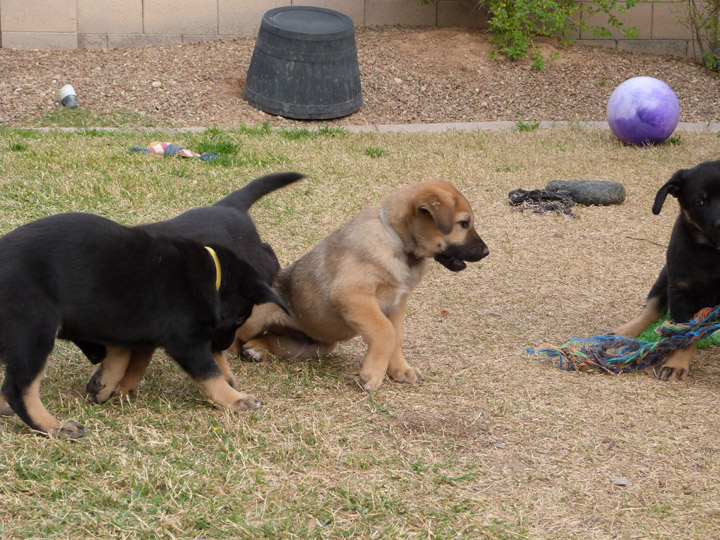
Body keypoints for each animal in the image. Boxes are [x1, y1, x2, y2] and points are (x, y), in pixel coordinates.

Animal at [0, 213, 286, 436]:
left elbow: (127, 358)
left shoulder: (128, 325)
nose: (226, 345)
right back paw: (53, 426)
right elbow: (210, 374)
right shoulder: (186, 341)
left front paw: (107, 386)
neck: (212, 276)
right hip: (35, 328)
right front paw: (236, 399)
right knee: (18, 387)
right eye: (239, 318)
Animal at [236, 179, 490, 390]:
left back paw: (256, 348)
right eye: (463, 223)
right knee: (238, 337)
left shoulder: (396, 304)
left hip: (312, 346)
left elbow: (396, 337)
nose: (487, 251)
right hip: (256, 315)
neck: (397, 242)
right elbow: (385, 332)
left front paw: (399, 369)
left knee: (270, 338)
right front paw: (373, 373)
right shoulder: (353, 295)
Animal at [612, 159, 720, 380]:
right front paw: (676, 365)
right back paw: (624, 332)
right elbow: (683, 335)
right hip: (663, 277)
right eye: (700, 202)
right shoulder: (680, 290)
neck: (712, 252)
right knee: (650, 310)